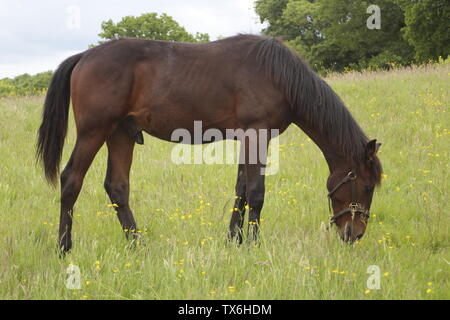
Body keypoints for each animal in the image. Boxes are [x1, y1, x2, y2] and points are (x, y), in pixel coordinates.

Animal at [37, 33, 382, 251]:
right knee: (71, 180)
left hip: (120, 134)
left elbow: (241, 189)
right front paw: (253, 245)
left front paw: (234, 240)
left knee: (117, 187)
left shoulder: (248, 137)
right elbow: (256, 192)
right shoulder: (257, 133)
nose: (355, 234)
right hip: (94, 132)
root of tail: (84, 56)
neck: (279, 75)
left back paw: (137, 244)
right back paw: (64, 247)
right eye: (366, 187)